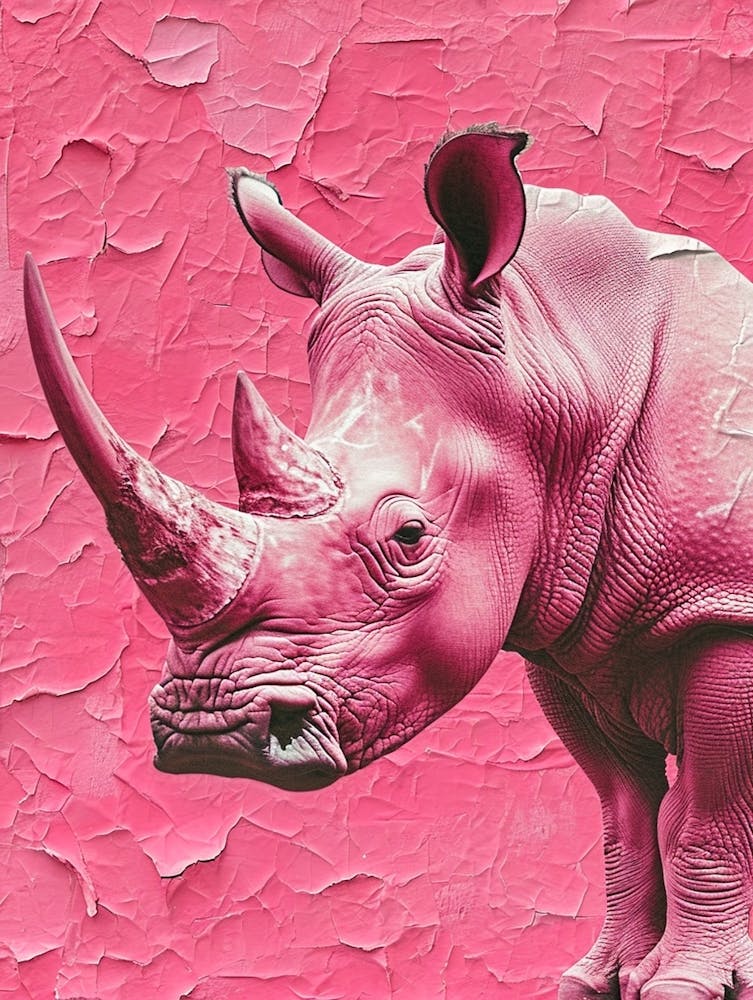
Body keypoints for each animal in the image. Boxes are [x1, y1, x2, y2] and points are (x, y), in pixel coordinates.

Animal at [23, 123, 753, 998]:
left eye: (408, 536)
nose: (210, 729)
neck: (563, 355)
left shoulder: (724, 607)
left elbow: (708, 817)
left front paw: (681, 985)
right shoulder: (572, 624)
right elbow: (624, 813)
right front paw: (596, 980)